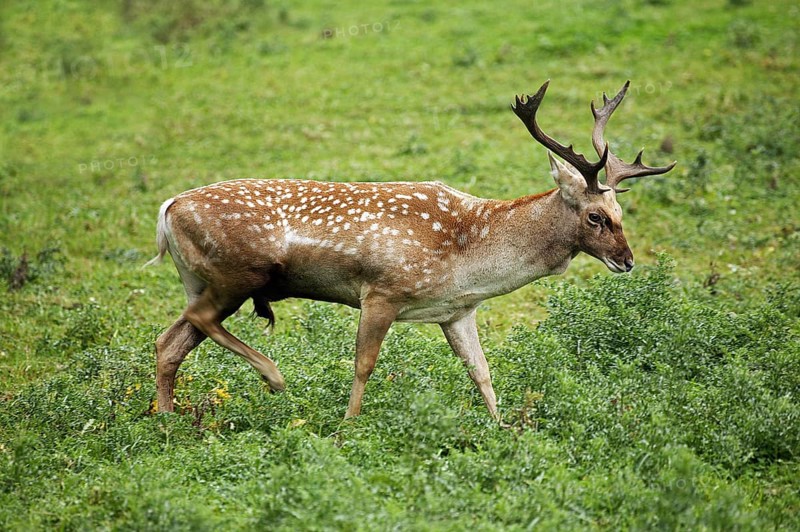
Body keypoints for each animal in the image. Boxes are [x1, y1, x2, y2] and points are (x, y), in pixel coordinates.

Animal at [146, 80, 675, 422]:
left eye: (621, 212)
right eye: (595, 216)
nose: (627, 260)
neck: (470, 258)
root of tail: (168, 208)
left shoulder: (457, 311)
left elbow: (481, 371)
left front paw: (503, 430)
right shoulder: (381, 291)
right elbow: (364, 364)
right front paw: (347, 429)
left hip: (201, 279)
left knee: (171, 340)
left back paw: (166, 421)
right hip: (238, 273)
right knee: (196, 322)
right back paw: (274, 378)